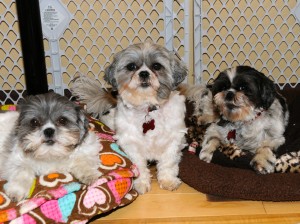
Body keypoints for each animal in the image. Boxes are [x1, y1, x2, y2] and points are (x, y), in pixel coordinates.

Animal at [71, 42, 188, 194]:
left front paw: (168, 180)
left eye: (156, 66)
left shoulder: (173, 140)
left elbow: (168, 162)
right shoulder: (130, 142)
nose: (144, 73)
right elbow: (138, 164)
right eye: (131, 66)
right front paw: (141, 182)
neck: (147, 108)